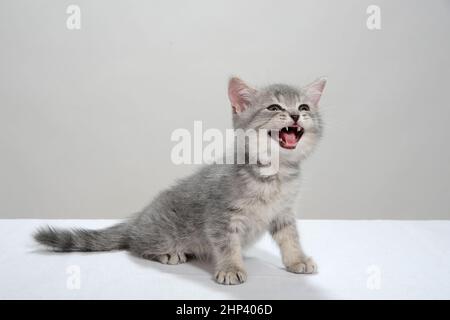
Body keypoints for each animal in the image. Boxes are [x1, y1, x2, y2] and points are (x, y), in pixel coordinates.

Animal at [33, 77, 326, 284]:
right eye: (274, 107)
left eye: (304, 107)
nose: (296, 115)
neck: (274, 175)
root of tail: (138, 219)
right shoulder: (220, 217)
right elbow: (226, 245)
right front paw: (231, 267)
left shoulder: (284, 213)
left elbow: (290, 238)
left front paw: (297, 260)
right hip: (160, 235)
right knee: (135, 246)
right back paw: (166, 253)